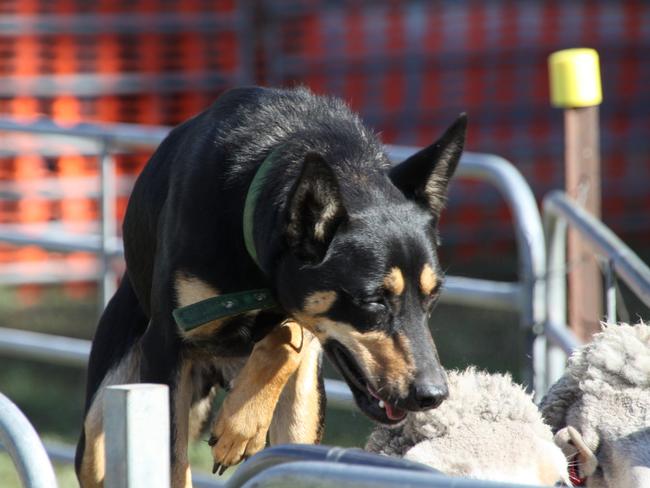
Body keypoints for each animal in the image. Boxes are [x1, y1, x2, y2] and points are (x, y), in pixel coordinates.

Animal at [74, 86, 460, 486]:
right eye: (373, 301)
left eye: (433, 297)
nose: (433, 395)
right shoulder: (164, 344)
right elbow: (172, 464)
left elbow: (289, 333)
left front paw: (240, 425)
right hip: (101, 429)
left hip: (303, 413)